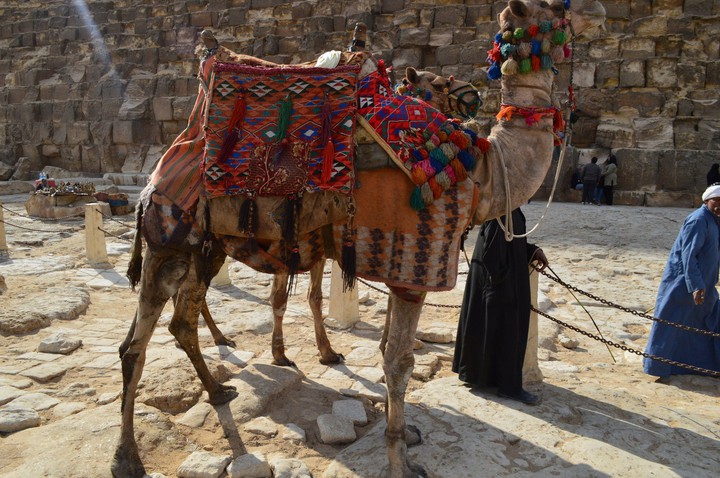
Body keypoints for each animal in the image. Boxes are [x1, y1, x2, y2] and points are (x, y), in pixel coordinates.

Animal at [112, 1, 606, 477]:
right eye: (558, 10)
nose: (471, 94)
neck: (481, 173)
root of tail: (155, 176)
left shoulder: (390, 265)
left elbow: (384, 345)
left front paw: (405, 435)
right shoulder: (412, 268)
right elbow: (397, 362)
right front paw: (400, 462)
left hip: (206, 248)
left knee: (180, 322)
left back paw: (218, 390)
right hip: (169, 242)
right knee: (135, 346)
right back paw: (127, 457)